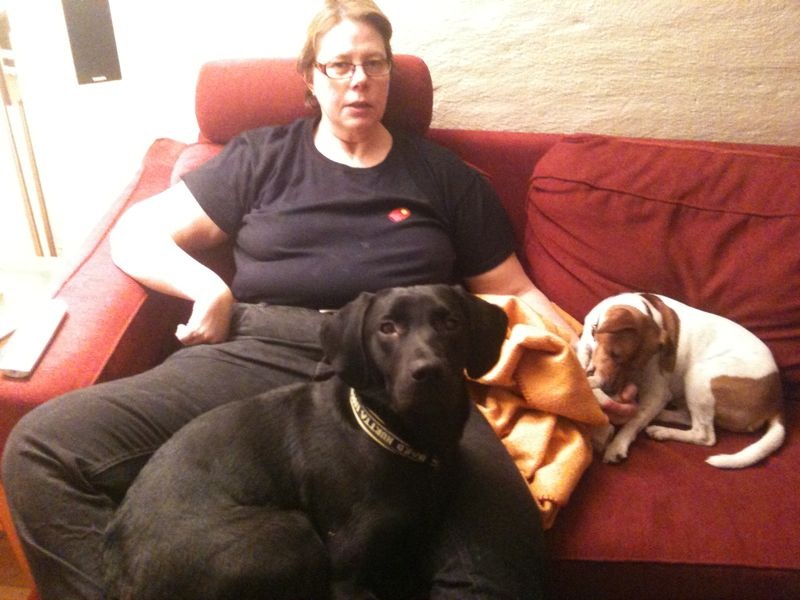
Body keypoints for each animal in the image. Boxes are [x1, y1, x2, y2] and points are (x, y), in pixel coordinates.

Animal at [102, 284, 508, 600]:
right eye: (387, 328)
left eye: (450, 322)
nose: (429, 373)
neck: (399, 438)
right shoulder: (346, 573)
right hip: (291, 531)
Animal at [576, 292, 784, 469]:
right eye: (615, 355)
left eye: (637, 366)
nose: (609, 389)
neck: (645, 309)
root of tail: (775, 402)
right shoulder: (586, 343)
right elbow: (582, 357)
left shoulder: (658, 393)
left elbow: (634, 422)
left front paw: (617, 445)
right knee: (688, 416)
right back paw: (661, 418)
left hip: (699, 375)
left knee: (704, 435)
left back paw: (662, 430)